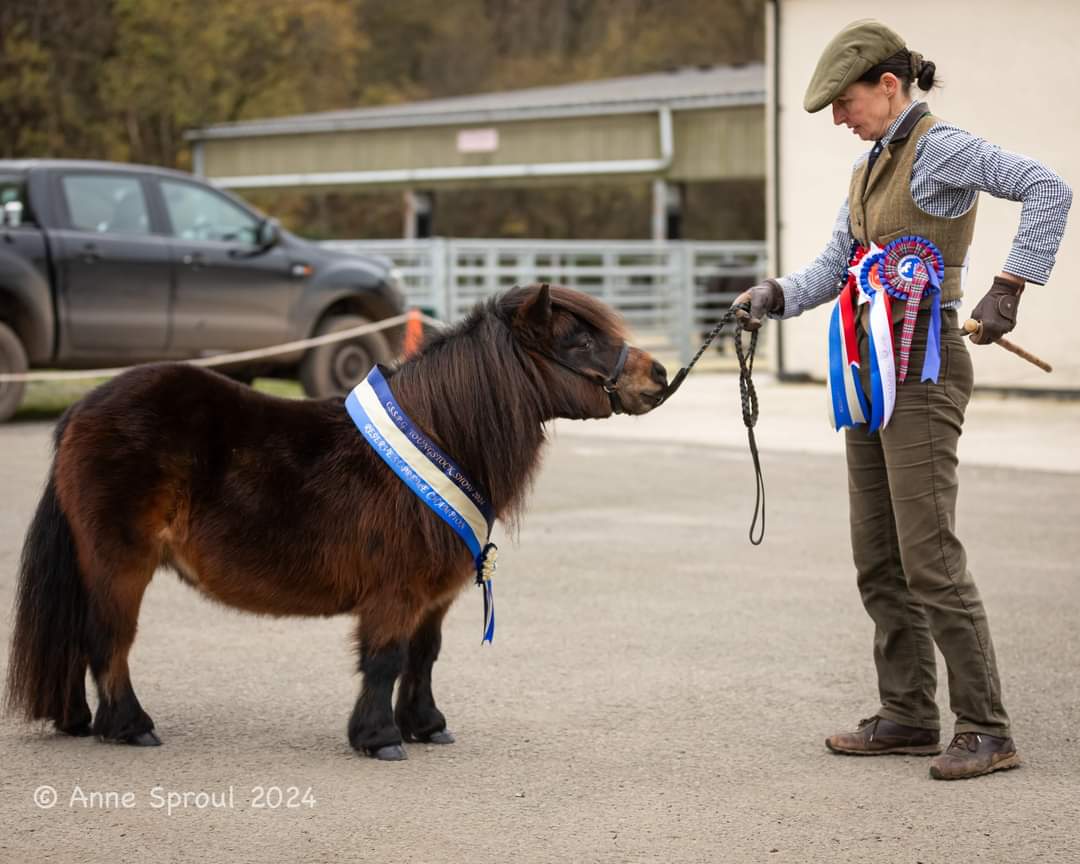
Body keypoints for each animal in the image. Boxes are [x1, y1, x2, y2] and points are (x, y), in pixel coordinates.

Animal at [6, 280, 665, 756]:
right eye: (578, 342)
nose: (658, 374)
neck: (439, 436)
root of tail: (82, 409)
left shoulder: (433, 596)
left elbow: (423, 656)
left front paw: (426, 725)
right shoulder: (396, 592)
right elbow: (385, 658)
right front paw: (379, 739)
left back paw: (80, 720)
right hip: (121, 562)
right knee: (107, 641)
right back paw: (130, 725)